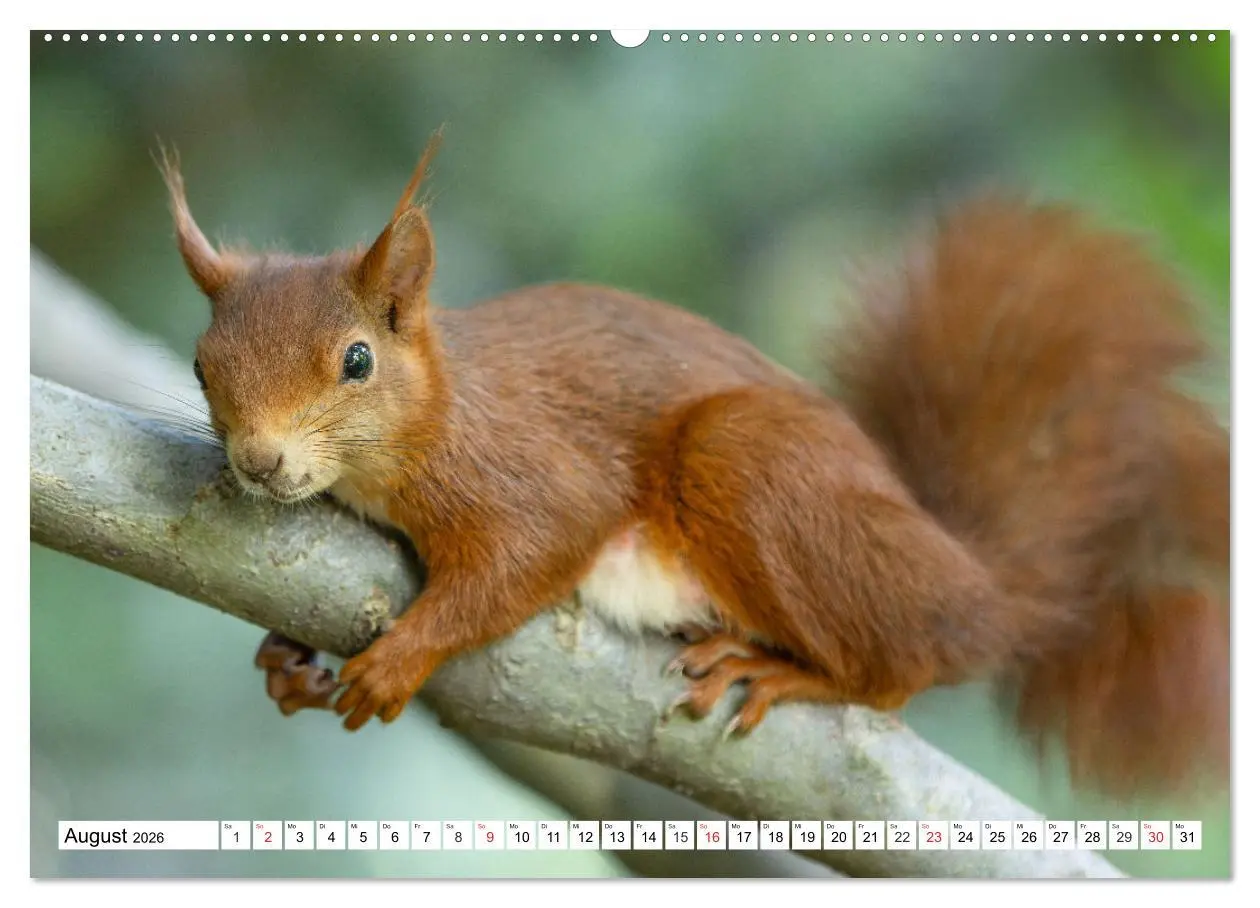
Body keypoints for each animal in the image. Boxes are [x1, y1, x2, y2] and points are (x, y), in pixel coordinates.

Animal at [158, 133, 1229, 799]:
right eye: (203, 365)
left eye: (356, 361)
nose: (259, 460)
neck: (441, 408)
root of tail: (975, 587)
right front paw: (286, 660)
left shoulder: (527, 471)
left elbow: (526, 558)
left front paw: (402, 657)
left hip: (752, 465)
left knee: (903, 669)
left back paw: (788, 672)